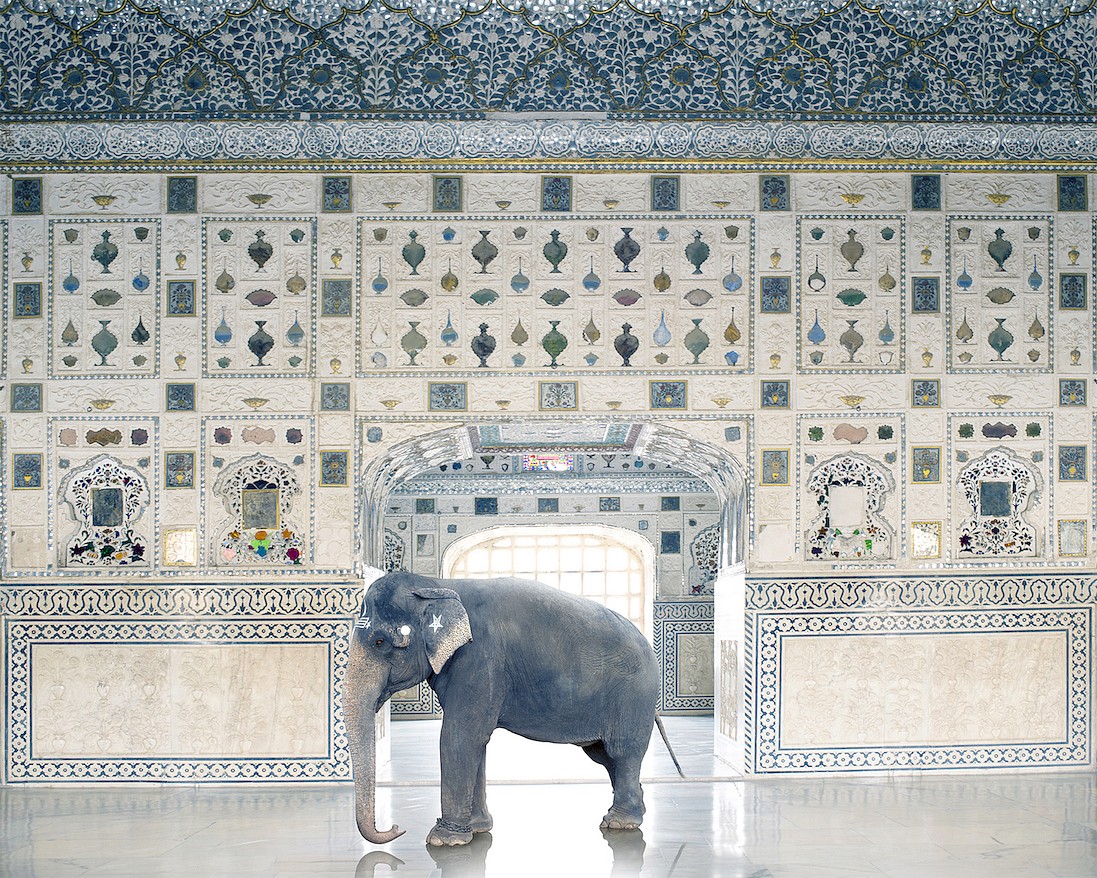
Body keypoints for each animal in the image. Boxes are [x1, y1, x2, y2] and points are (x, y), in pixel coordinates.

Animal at [342, 566, 662, 847]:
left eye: (380, 641)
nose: (396, 828)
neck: (437, 584)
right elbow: (475, 741)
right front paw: (477, 829)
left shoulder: (480, 658)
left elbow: (459, 737)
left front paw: (444, 840)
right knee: (604, 756)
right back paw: (632, 812)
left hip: (633, 695)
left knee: (622, 751)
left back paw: (620, 823)